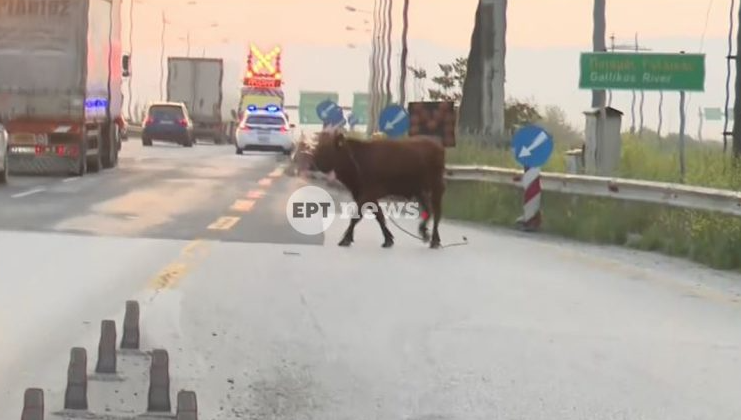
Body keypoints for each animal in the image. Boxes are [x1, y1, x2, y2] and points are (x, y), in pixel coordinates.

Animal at [295, 129, 446, 249]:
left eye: (325, 148)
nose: (310, 164)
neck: (358, 159)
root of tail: (436, 144)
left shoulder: (368, 194)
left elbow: (356, 216)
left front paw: (345, 239)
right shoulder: (365, 195)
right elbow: (379, 216)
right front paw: (388, 239)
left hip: (436, 186)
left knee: (437, 212)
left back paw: (434, 240)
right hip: (419, 190)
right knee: (428, 210)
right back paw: (426, 233)